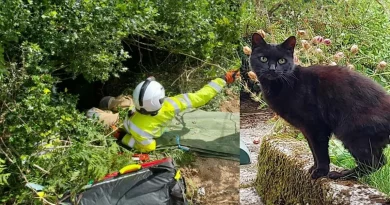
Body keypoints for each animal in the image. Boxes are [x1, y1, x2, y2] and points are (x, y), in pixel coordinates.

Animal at [250, 32, 390, 179]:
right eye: (263, 59)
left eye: (282, 61)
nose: (272, 69)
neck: (282, 85)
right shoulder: (306, 129)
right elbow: (313, 150)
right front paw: (314, 168)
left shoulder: (316, 126)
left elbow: (320, 151)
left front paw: (321, 172)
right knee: (379, 161)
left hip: (351, 133)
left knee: (373, 163)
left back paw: (341, 175)